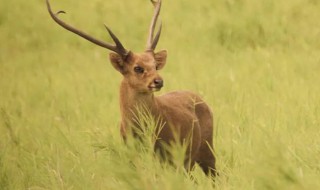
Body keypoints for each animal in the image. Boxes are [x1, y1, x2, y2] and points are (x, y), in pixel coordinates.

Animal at [46, 0, 218, 177]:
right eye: (138, 68)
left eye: (155, 65)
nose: (158, 81)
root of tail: (201, 99)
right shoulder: (131, 154)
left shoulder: (170, 155)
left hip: (206, 148)